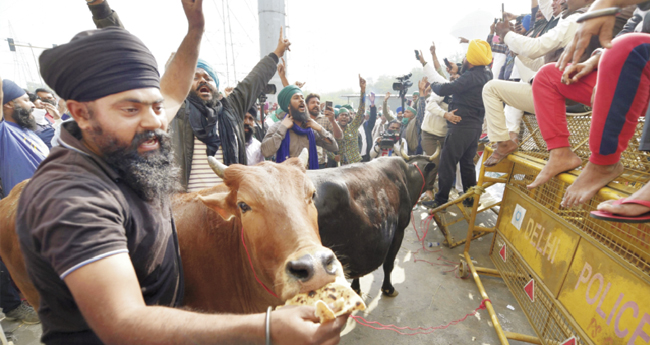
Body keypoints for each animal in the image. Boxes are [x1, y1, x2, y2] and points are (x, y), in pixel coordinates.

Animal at [306, 153, 438, 296]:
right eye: (435, 174)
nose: (434, 190)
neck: (407, 178)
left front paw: (356, 288)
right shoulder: (399, 230)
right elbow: (389, 263)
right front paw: (388, 288)